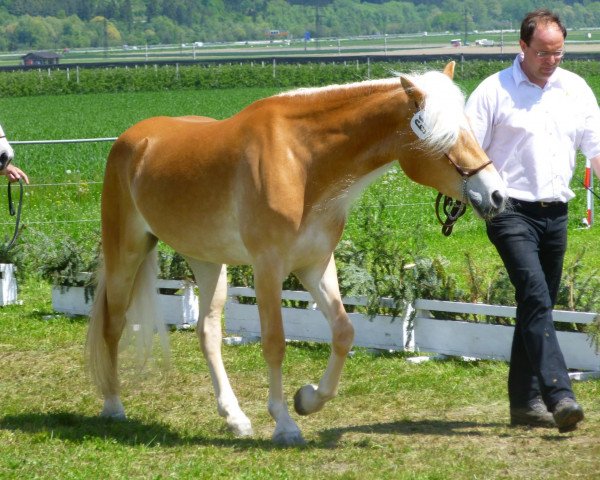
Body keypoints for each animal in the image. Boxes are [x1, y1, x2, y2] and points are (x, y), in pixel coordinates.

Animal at [84, 61, 506, 446]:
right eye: (442, 134)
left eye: (470, 128)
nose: (497, 195)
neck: (300, 160)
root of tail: (133, 139)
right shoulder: (268, 267)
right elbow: (274, 343)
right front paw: (285, 424)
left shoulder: (315, 265)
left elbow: (344, 332)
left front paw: (307, 399)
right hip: (126, 254)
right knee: (112, 324)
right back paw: (113, 406)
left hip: (207, 261)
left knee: (207, 332)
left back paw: (234, 418)